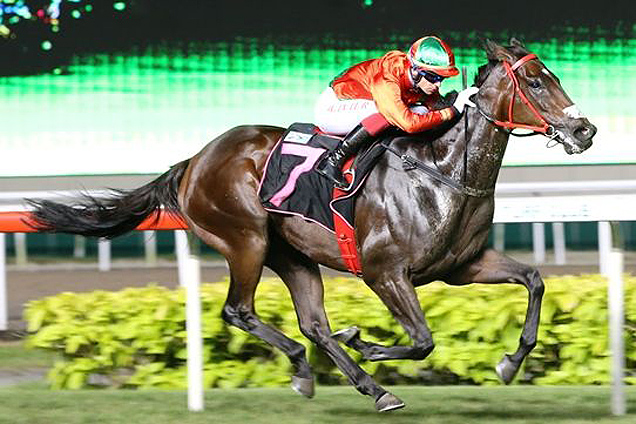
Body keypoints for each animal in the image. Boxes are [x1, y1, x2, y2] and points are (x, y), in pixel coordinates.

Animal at [28, 39, 596, 410]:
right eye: (535, 80)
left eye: (554, 75)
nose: (584, 129)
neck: (443, 171)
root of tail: (193, 161)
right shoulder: (385, 272)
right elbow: (422, 339)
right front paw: (368, 342)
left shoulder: (463, 265)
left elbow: (534, 281)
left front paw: (508, 363)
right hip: (246, 240)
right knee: (239, 310)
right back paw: (326, 370)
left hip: (293, 255)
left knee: (314, 325)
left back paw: (359, 384)